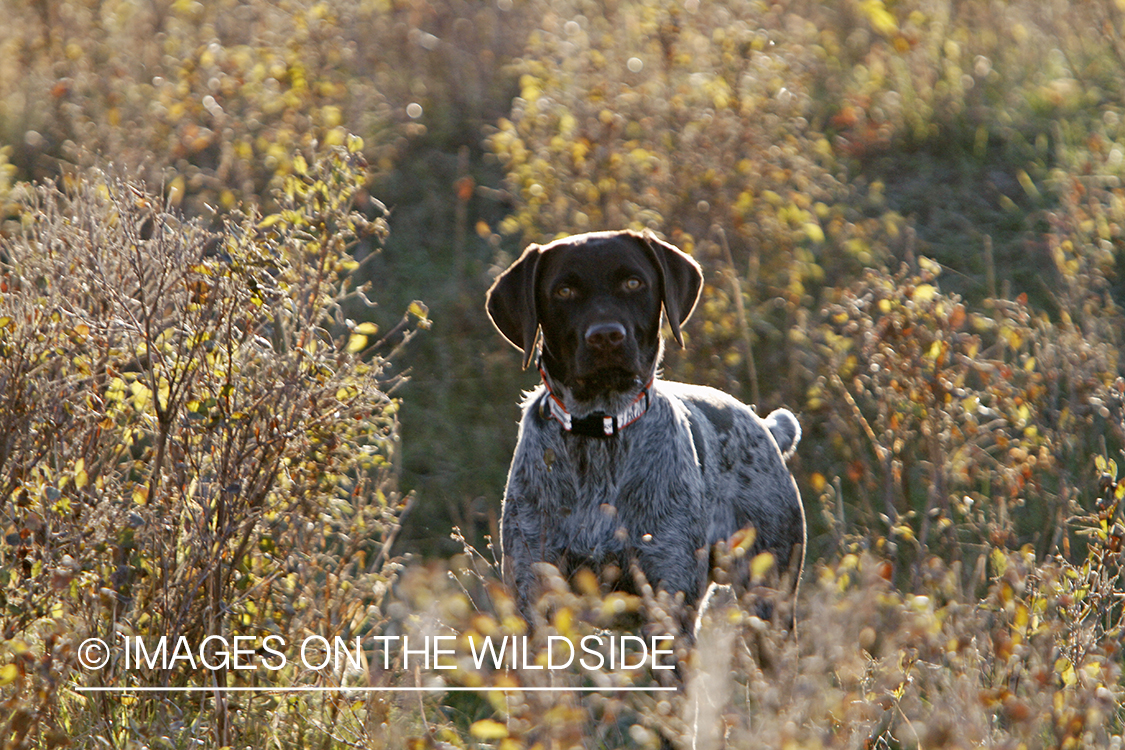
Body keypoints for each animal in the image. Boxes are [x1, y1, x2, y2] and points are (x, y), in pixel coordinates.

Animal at [488, 230, 805, 634]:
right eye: (564, 291)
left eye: (633, 283)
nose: (606, 336)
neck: (600, 433)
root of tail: (764, 426)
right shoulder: (535, 601)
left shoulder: (667, 603)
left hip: (768, 599)